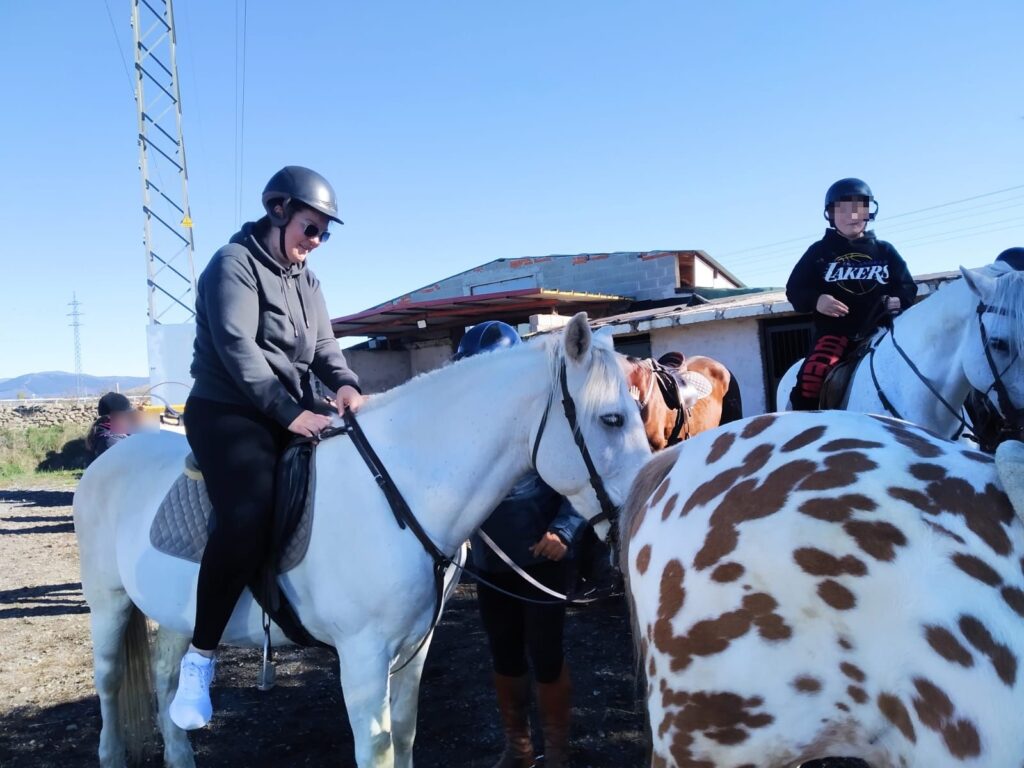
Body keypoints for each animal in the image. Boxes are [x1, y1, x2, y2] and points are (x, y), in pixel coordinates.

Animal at [74, 313, 647, 768]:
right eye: (612, 417)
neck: (399, 489)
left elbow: (405, 736)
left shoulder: (414, 649)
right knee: (109, 687)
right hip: (109, 604)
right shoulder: (363, 657)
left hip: (179, 613)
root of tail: (111, 457)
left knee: (168, 678)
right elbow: (377, 750)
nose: (638, 515)